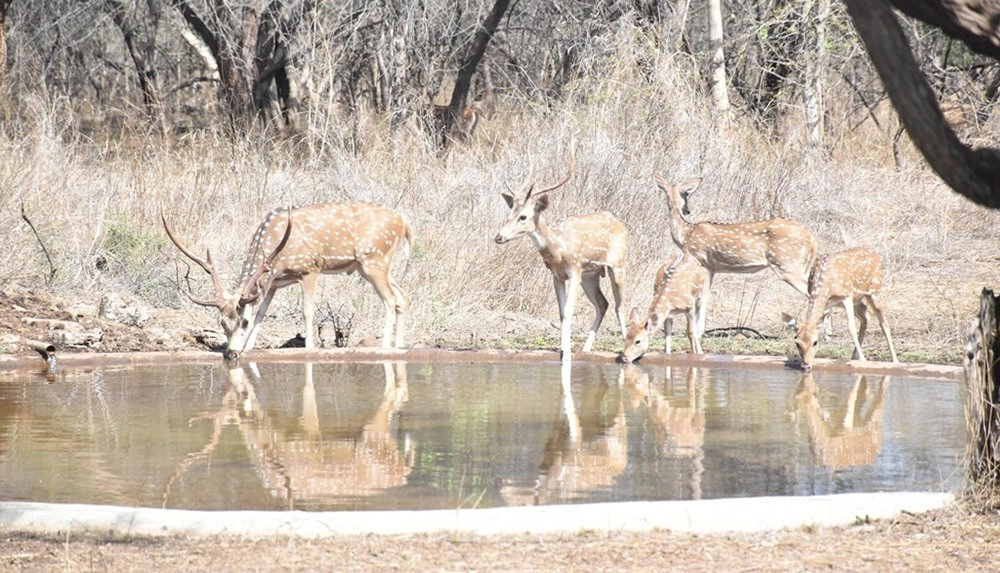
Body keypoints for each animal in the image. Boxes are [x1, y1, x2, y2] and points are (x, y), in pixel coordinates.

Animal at [163, 201, 410, 358]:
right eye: (222, 323)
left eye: (242, 322)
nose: (231, 354)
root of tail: (403, 222)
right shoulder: (273, 283)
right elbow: (262, 312)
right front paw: (249, 348)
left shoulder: (310, 268)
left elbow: (307, 310)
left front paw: (309, 348)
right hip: (370, 267)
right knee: (402, 296)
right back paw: (399, 346)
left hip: (374, 260)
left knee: (390, 299)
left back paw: (385, 347)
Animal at [496, 150, 628, 360]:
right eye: (509, 215)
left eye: (523, 216)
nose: (499, 237)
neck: (558, 249)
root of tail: (622, 225)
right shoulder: (557, 276)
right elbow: (561, 312)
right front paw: (564, 350)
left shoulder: (575, 270)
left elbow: (568, 311)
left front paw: (566, 354)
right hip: (591, 276)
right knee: (603, 303)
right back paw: (586, 349)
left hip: (618, 264)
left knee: (620, 305)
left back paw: (628, 348)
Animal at [652, 174, 816, 336]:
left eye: (687, 193)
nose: (687, 210)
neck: (686, 234)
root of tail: (810, 237)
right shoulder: (712, 268)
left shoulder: (703, 262)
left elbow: (702, 298)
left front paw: (698, 332)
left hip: (788, 264)